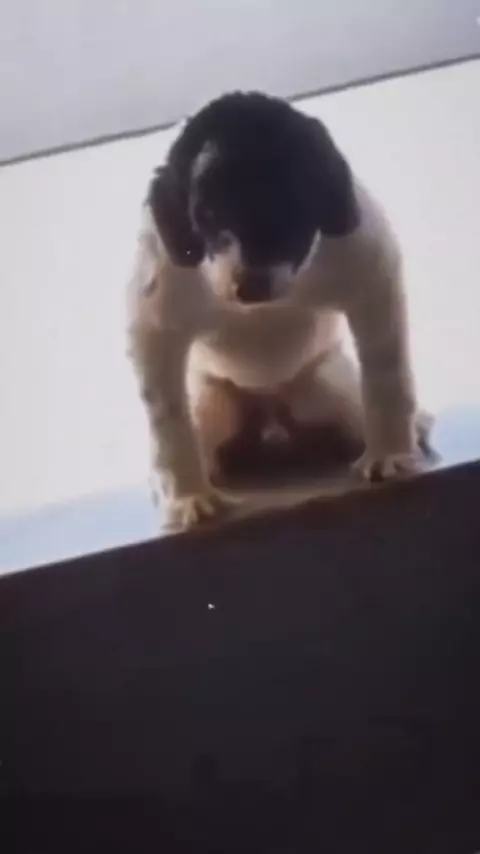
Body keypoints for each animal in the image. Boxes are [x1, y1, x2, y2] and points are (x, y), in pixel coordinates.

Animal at [126, 92, 433, 532]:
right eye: (206, 214)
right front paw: (187, 495)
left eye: (289, 204)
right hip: (213, 406)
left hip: (327, 388)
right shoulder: (156, 320)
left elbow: (387, 376)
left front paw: (390, 453)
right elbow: (167, 416)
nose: (250, 284)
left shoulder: (371, 276)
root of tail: (269, 410)